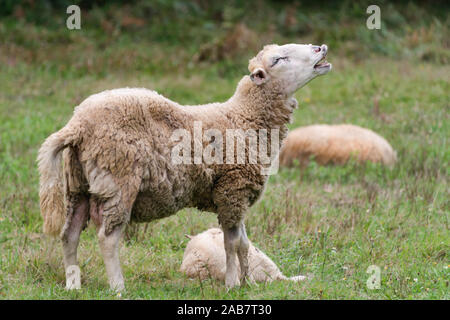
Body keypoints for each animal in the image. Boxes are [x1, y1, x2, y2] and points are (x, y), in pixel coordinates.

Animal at [37, 43, 330, 292]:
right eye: (279, 59)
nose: (320, 48)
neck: (243, 118)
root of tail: (77, 124)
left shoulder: (238, 195)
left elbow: (244, 244)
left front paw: (248, 283)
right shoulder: (231, 189)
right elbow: (231, 243)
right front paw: (233, 283)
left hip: (78, 185)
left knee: (69, 235)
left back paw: (73, 285)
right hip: (119, 180)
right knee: (107, 238)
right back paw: (118, 287)